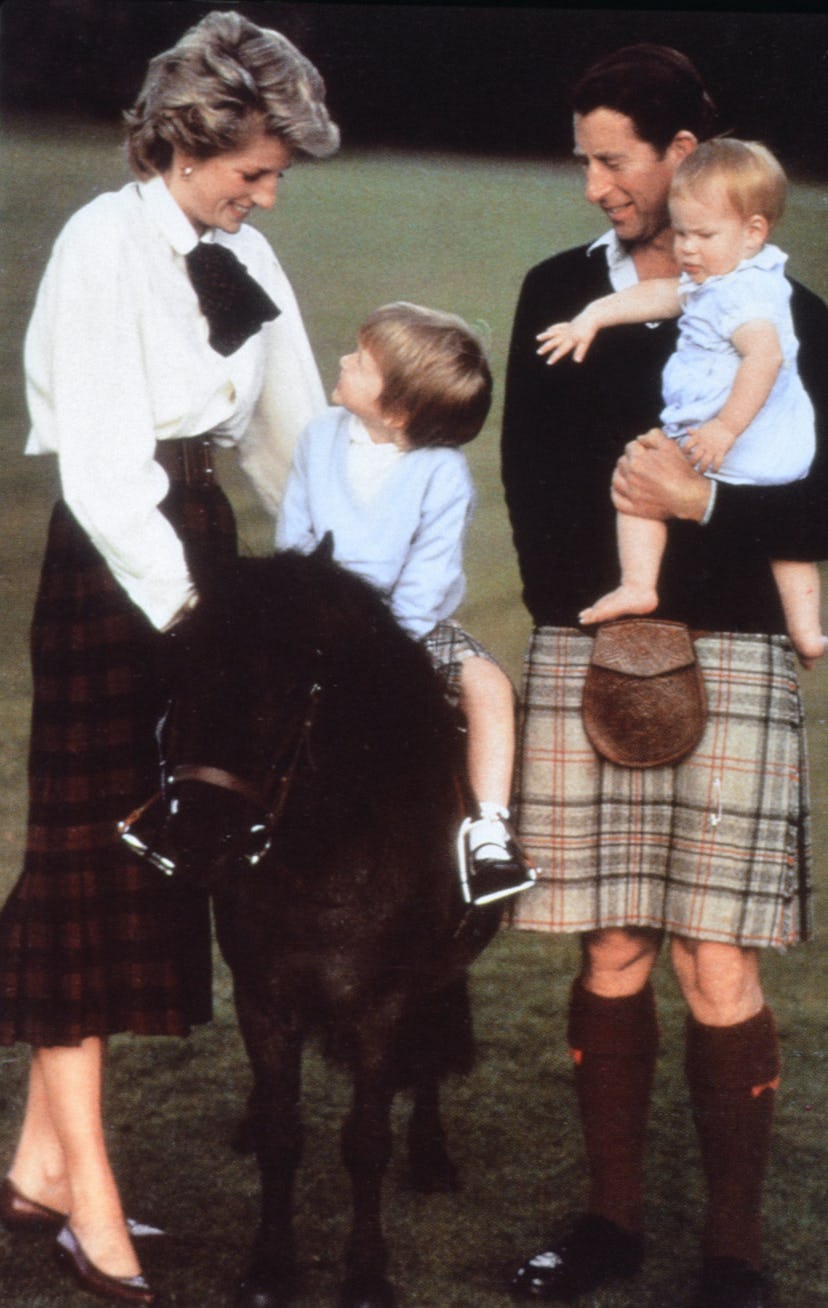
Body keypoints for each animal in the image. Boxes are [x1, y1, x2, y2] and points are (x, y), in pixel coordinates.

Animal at [138, 544, 497, 1308]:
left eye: (291, 686)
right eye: (182, 670)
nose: (199, 838)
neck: (323, 848)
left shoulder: (382, 1004)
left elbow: (365, 1141)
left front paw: (364, 1274)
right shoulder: (263, 1000)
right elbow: (282, 1135)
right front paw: (270, 1266)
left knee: (426, 1055)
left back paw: (431, 1156)